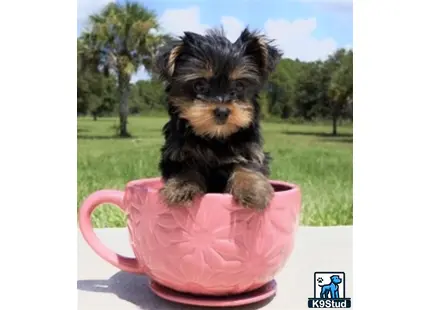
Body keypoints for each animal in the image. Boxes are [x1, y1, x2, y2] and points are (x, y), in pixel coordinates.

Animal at [155, 27, 282, 209]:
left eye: (239, 86)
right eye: (200, 85)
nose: (222, 111)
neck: (216, 136)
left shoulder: (250, 148)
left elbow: (248, 164)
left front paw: (251, 189)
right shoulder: (177, 151)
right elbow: (184, 167)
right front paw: (181, 187)